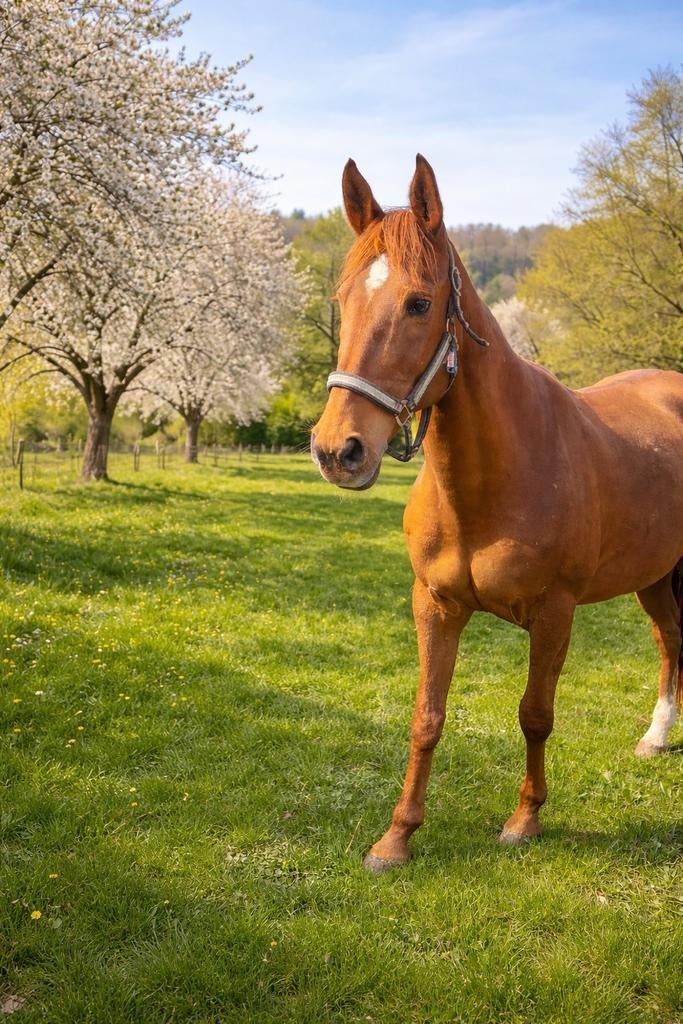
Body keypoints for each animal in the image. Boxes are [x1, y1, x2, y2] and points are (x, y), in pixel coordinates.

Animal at [311, 154, 683, 873]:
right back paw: (656, 736)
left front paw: (524, 819)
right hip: (653, 577)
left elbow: (534, 714)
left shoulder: (554, 612)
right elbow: (426, 717)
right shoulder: (434, 605)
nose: (338, 450)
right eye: (342, 302)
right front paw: (396, 838)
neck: (489, 483)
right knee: (669, 639)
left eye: (419, 303)